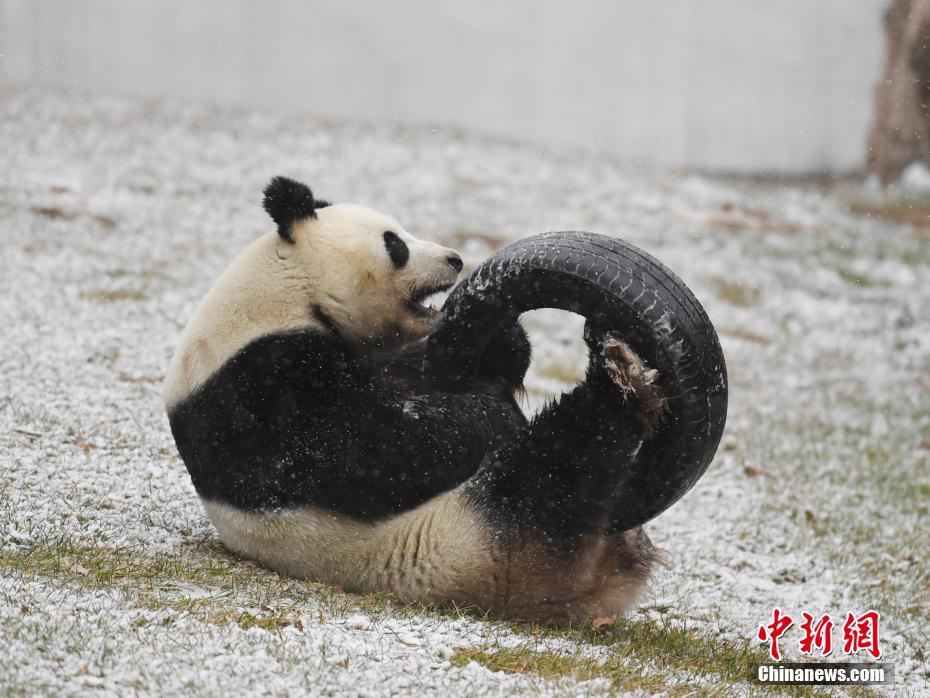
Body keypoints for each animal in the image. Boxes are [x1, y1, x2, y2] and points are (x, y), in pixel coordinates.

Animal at [165, 175, 668, 620]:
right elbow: (372, 450)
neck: (289, 288)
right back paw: (618, 378)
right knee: (556, 466)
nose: (455, 259)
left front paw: (501, 344)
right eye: (396, 244)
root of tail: (599, 584)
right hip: (482, 543)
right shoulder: (258, 388)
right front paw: (488, 416)